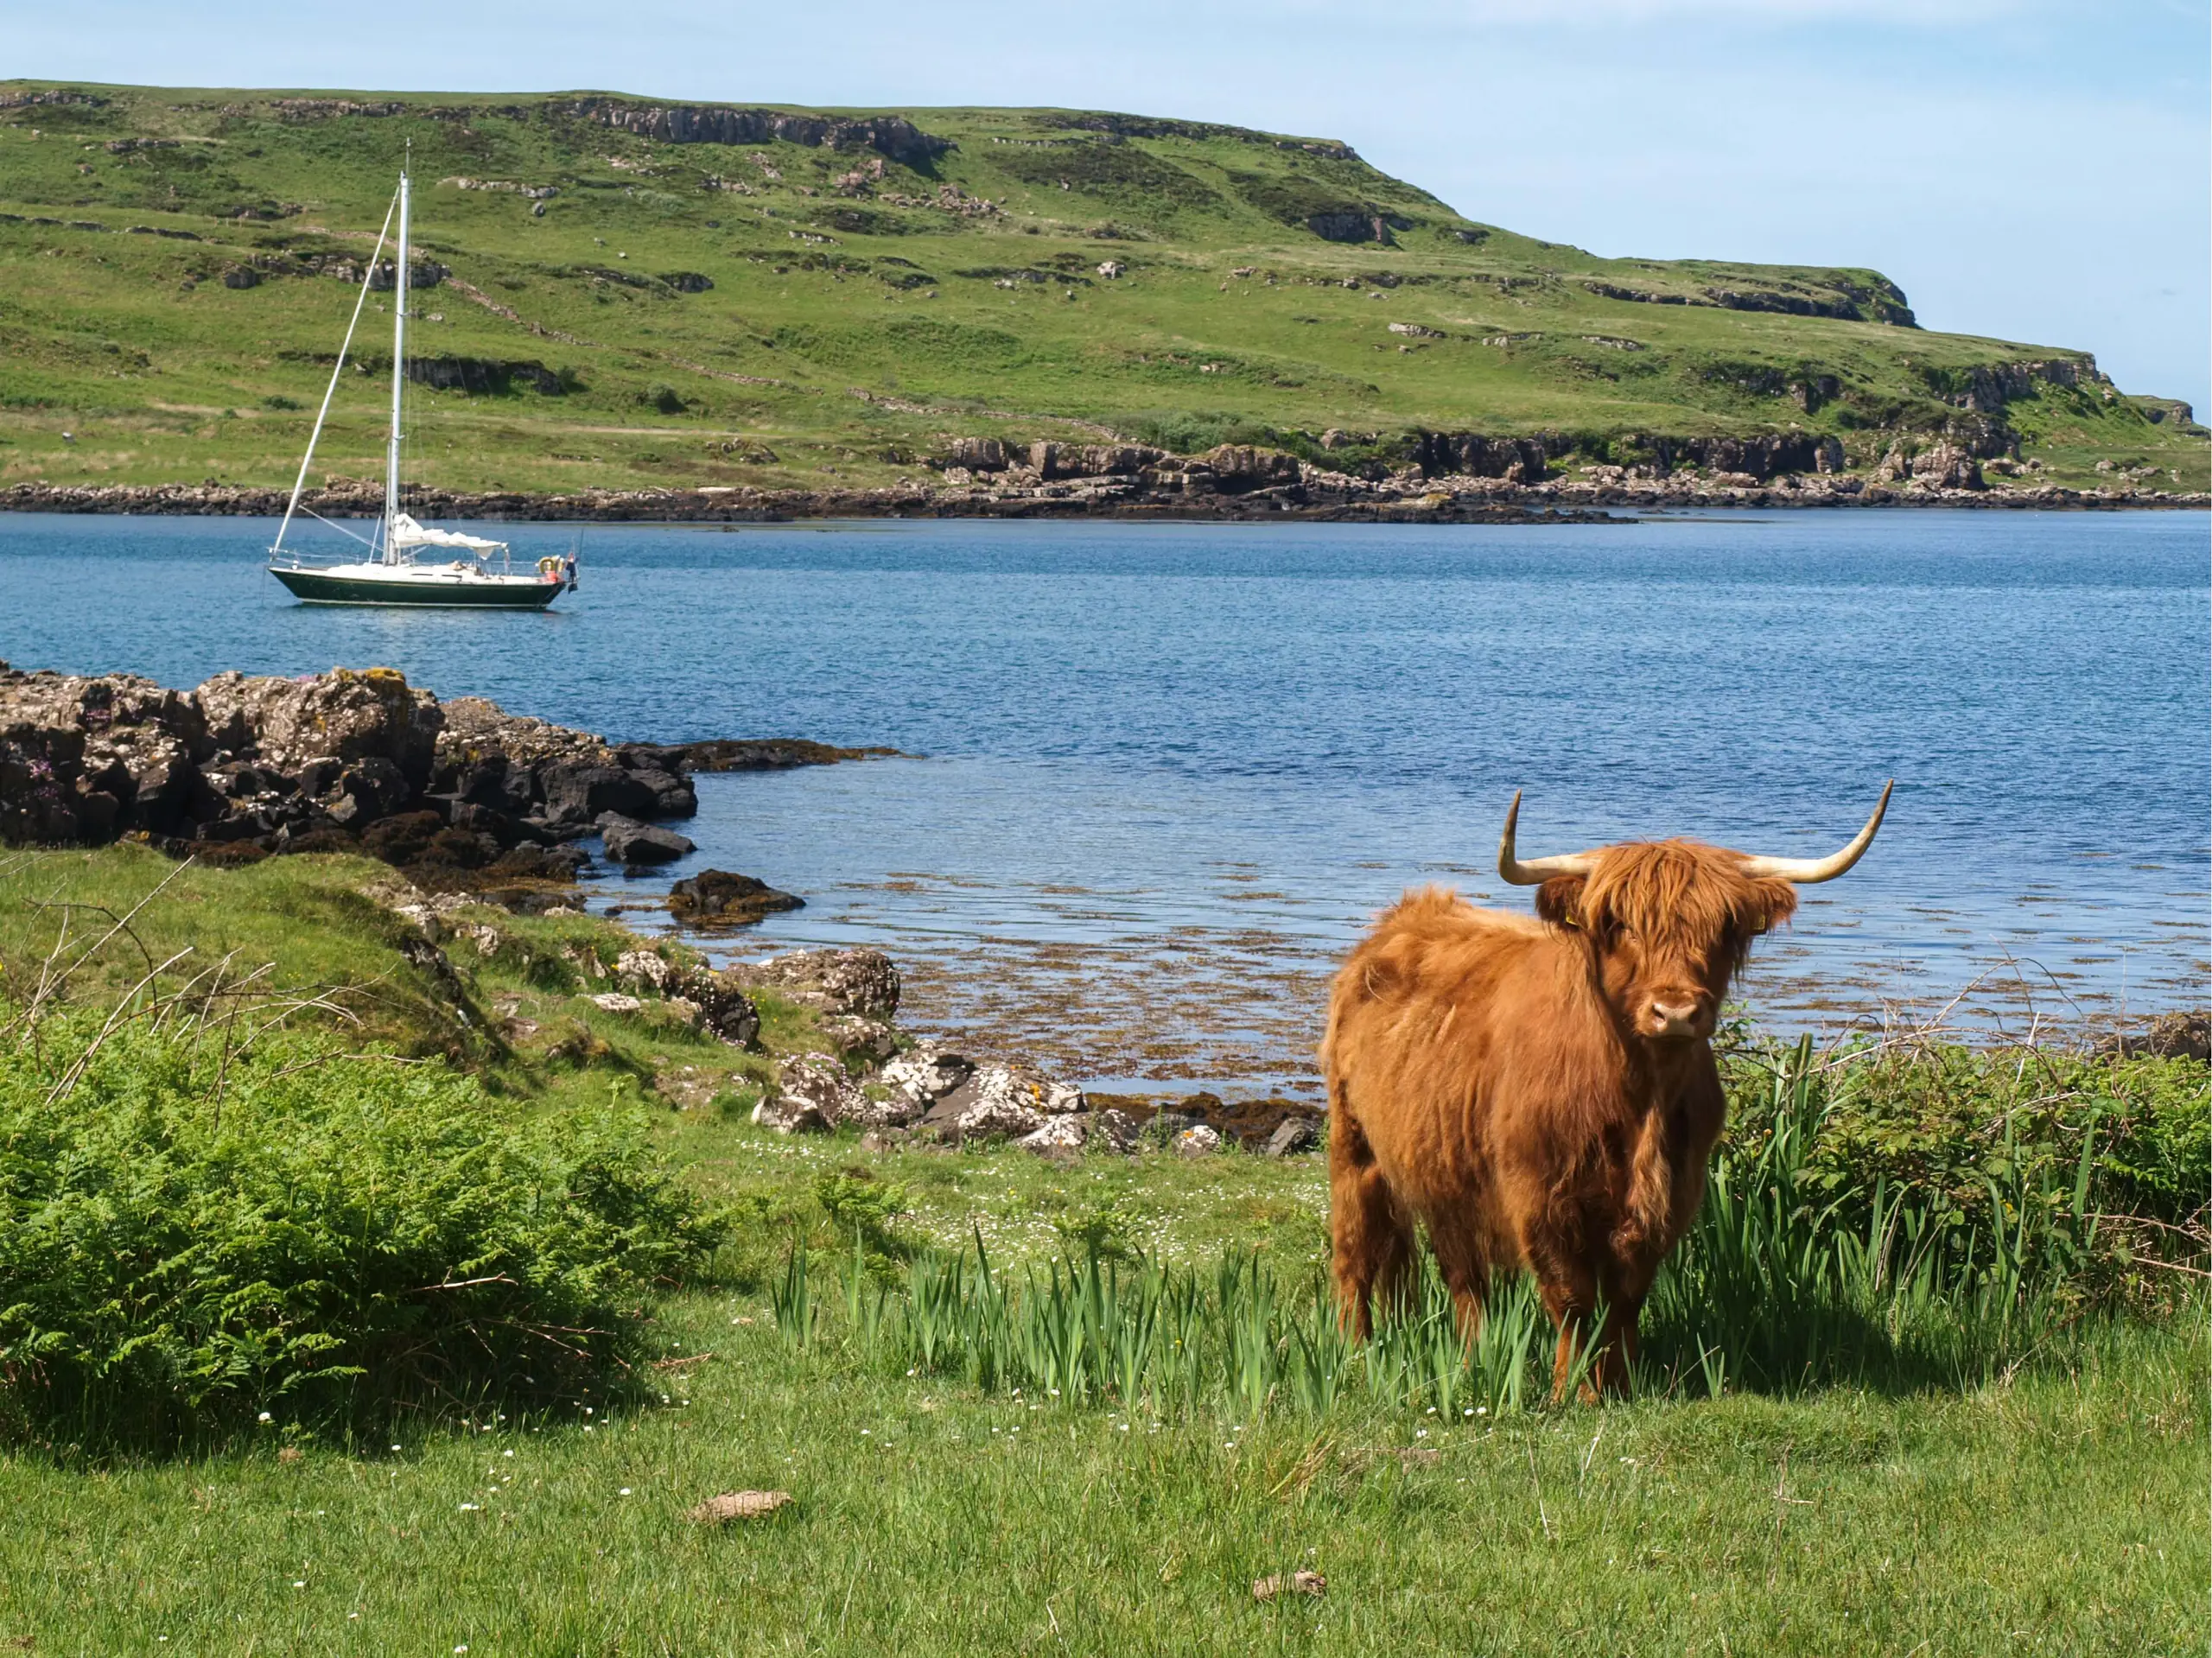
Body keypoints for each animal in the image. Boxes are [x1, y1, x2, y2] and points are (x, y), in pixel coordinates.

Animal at [1320, 784, 1891, 1399]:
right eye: (1621, 924)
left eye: (1724, 928)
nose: (1675, 1012)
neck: (1641, 1102)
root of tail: (1408, 913)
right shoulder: (1539, 1195)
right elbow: (1571, 1298)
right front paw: (1573, 1391)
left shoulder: (1671, 1196)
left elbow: (1626, 1297)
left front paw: (1622, 1381)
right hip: (1354, 1146)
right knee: (1355, 1253)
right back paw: (1351, 1352)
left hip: (1445, 1165)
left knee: (1462, 1275)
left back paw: (1473, 1361)